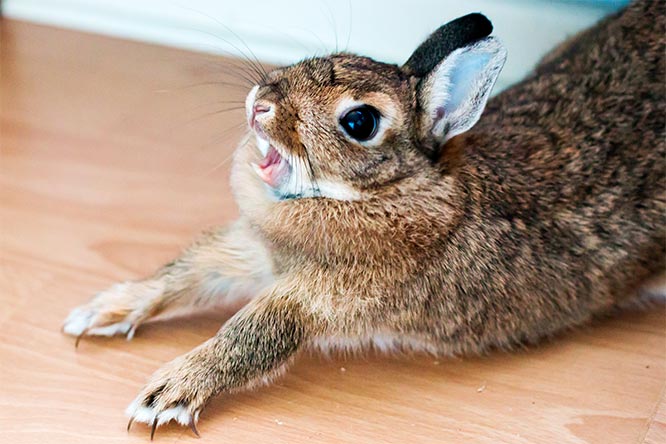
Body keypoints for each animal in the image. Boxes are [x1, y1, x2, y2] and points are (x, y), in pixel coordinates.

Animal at [61, 0, 660, 438]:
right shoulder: (251, 252)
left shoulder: (317, 297)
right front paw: (100, 311)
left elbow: (250, 336)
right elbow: (183, 274)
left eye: (359, 122)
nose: (260, 104)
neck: (380, 191)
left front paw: (166, 394)